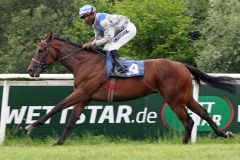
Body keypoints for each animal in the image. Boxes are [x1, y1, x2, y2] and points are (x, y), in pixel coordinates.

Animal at [26, 32, 236, 145]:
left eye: (40, 49)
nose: (30, 71)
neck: (84, 63)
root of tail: (181, 65)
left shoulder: (82, 92)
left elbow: (58, 106)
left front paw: (32, 125)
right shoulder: (85, 96)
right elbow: (71, 121)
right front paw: (58, 142)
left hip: (174, 100)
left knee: (189, 121)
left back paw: (184, 144)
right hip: (185, 97)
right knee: (203, 113)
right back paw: (223, 134)